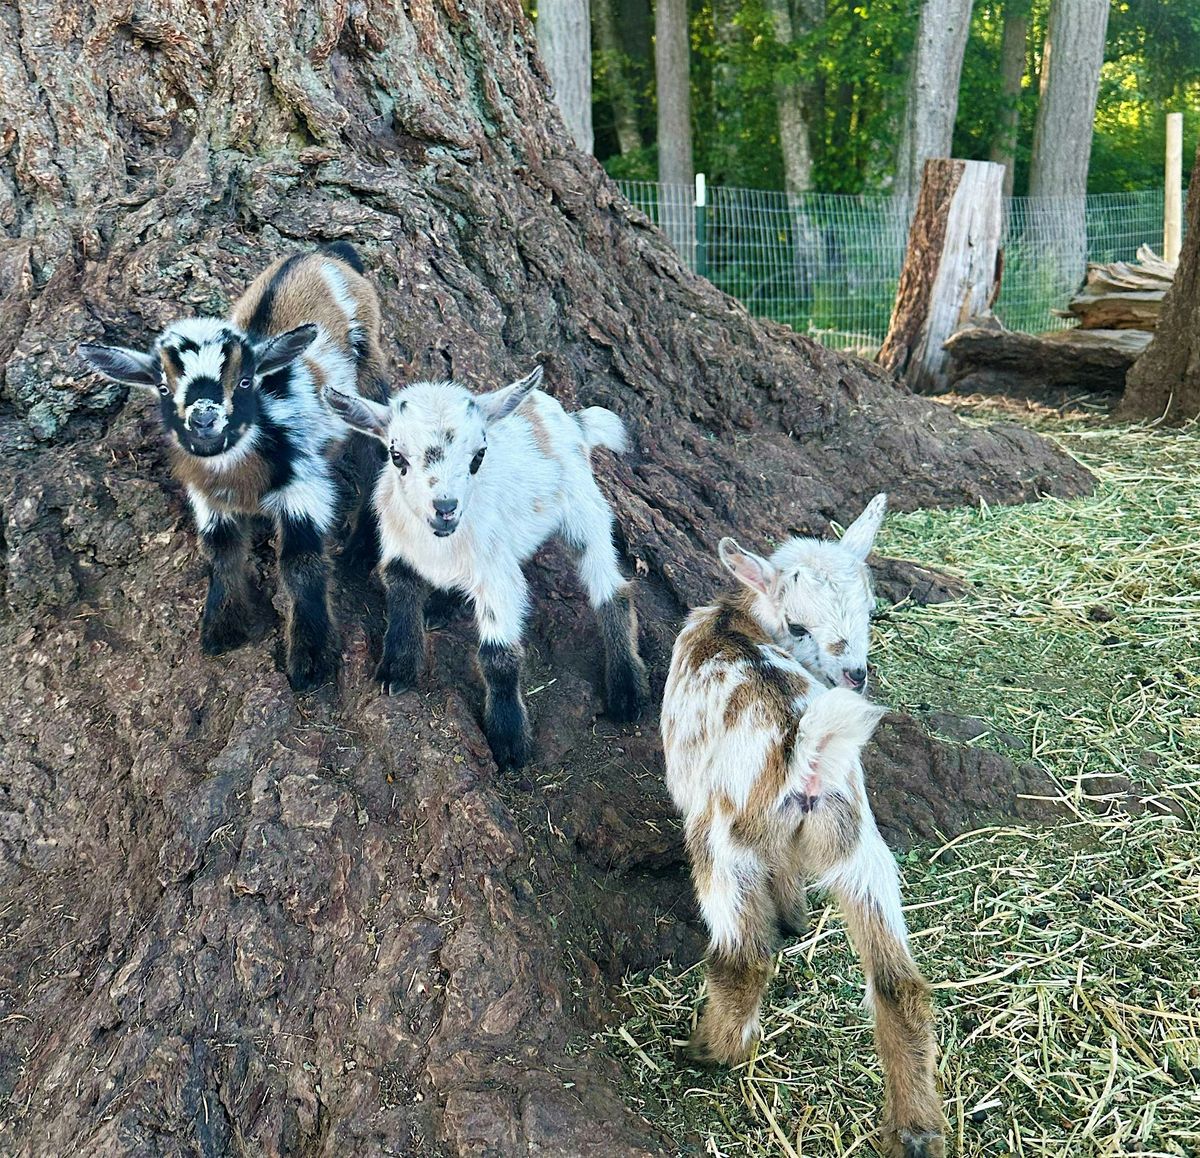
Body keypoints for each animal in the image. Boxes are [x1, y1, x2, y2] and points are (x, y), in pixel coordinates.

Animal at [78, 241, 384, 686]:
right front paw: (222, 628)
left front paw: (311, 660)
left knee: (376, 453)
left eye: (244, 381)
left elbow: (301, 563)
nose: (204, 421)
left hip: (368, 363)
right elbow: (221, 553)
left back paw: (361, 549)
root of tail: (321, 255)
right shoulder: (209, 502)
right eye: (163, 387)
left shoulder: (305, 488)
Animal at [326, 367, 648, 768]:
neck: (439, 545)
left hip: (584, 511)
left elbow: (498, 657)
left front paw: (508, 740)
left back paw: (626, 691)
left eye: (478, 456)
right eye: (396, 456)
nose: (445, 508)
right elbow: (401, 598)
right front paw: (397, 670)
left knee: (613, 591)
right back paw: (441, 605)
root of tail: (572, 420)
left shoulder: (498, 577)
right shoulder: (400, 551)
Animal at [662, 496, 940, 1156]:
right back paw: (917, 1130)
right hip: (860, 848)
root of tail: (805, 752)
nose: (855, 673)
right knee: (899, 985)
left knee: (743, 960)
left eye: (869, 610)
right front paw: (794, 919)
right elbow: (787, 880)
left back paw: (708, 1050)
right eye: (799, 626)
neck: (737, 620)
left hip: (722, 845)